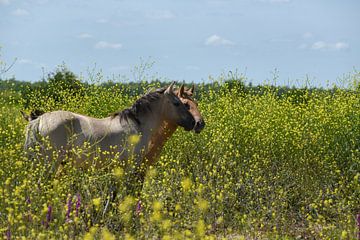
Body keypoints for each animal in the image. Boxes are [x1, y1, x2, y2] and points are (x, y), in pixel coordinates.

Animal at [21, 82, 205, 195]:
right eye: (179, 103)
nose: (197, 124)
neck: (138, 125)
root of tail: (38, 120)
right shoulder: (133, 169)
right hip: (49, 164)